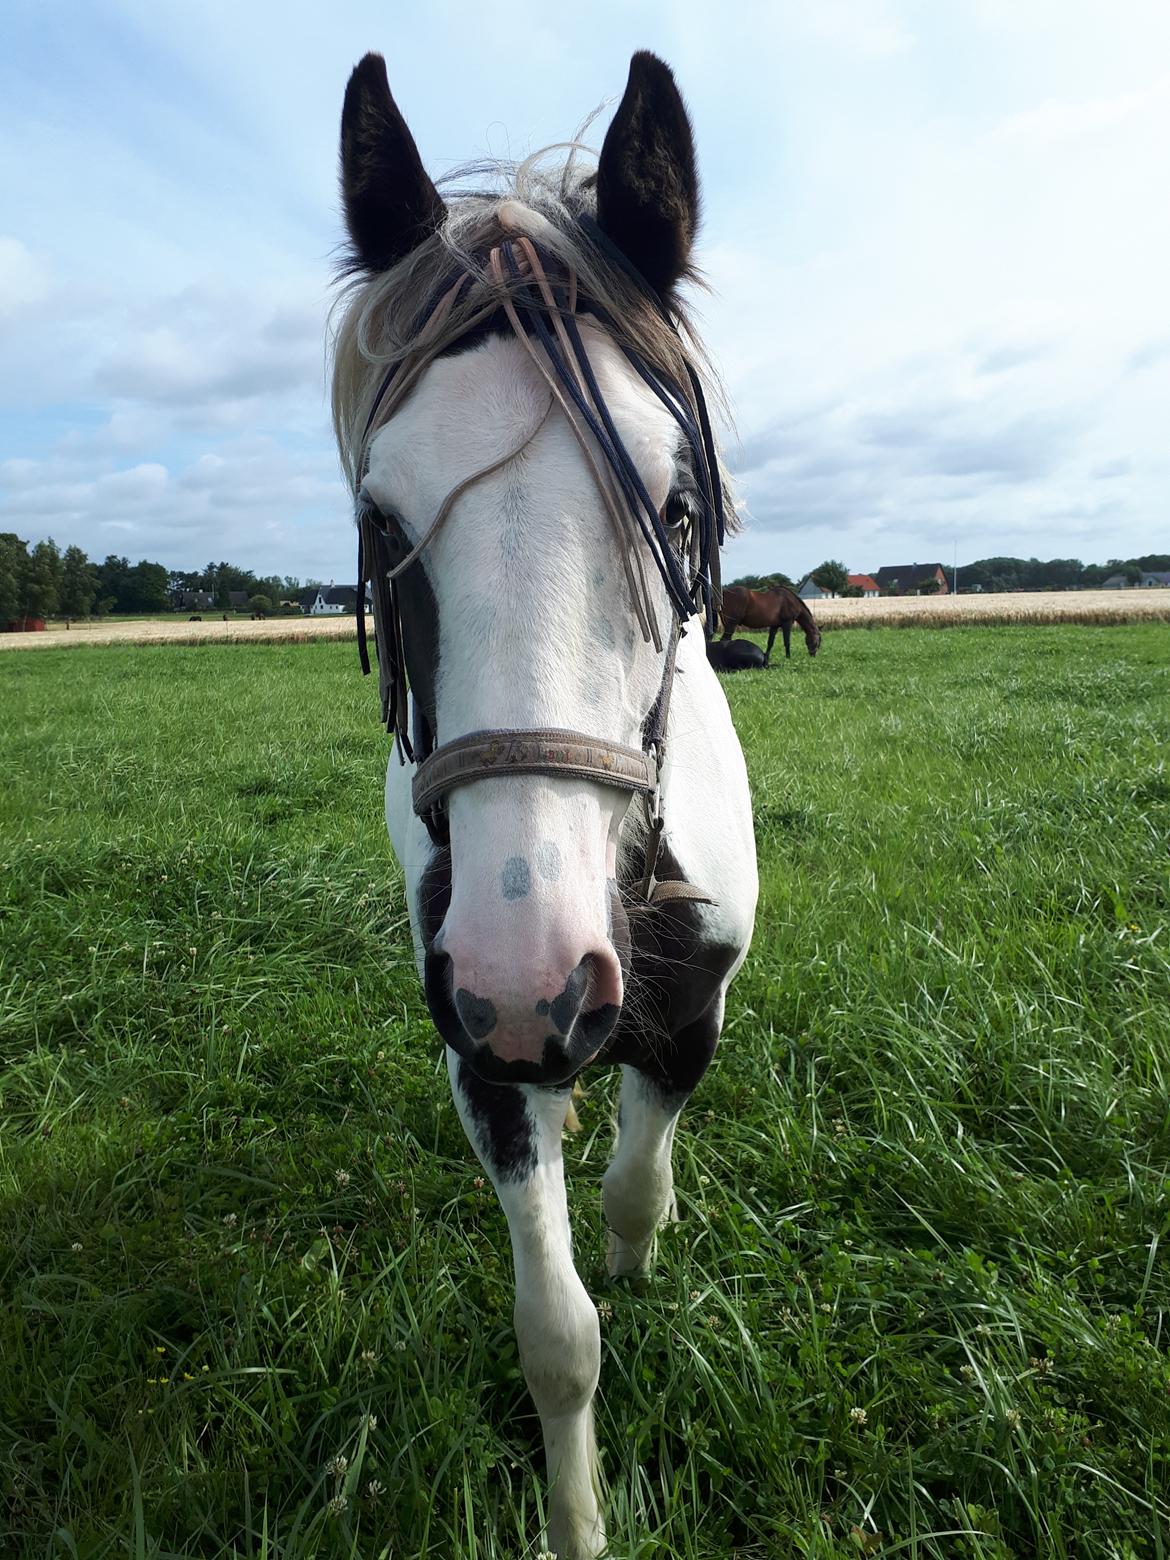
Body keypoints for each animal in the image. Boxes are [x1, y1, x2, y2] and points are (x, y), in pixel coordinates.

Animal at [333, 51, 761, 1560]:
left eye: (677, 510)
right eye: (383, 523)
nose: (531, 983)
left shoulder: (687, 1012)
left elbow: (638, 1173)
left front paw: (640, 1245)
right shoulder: (481, 1055)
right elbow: (556, 1335)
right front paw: (577, 1519)